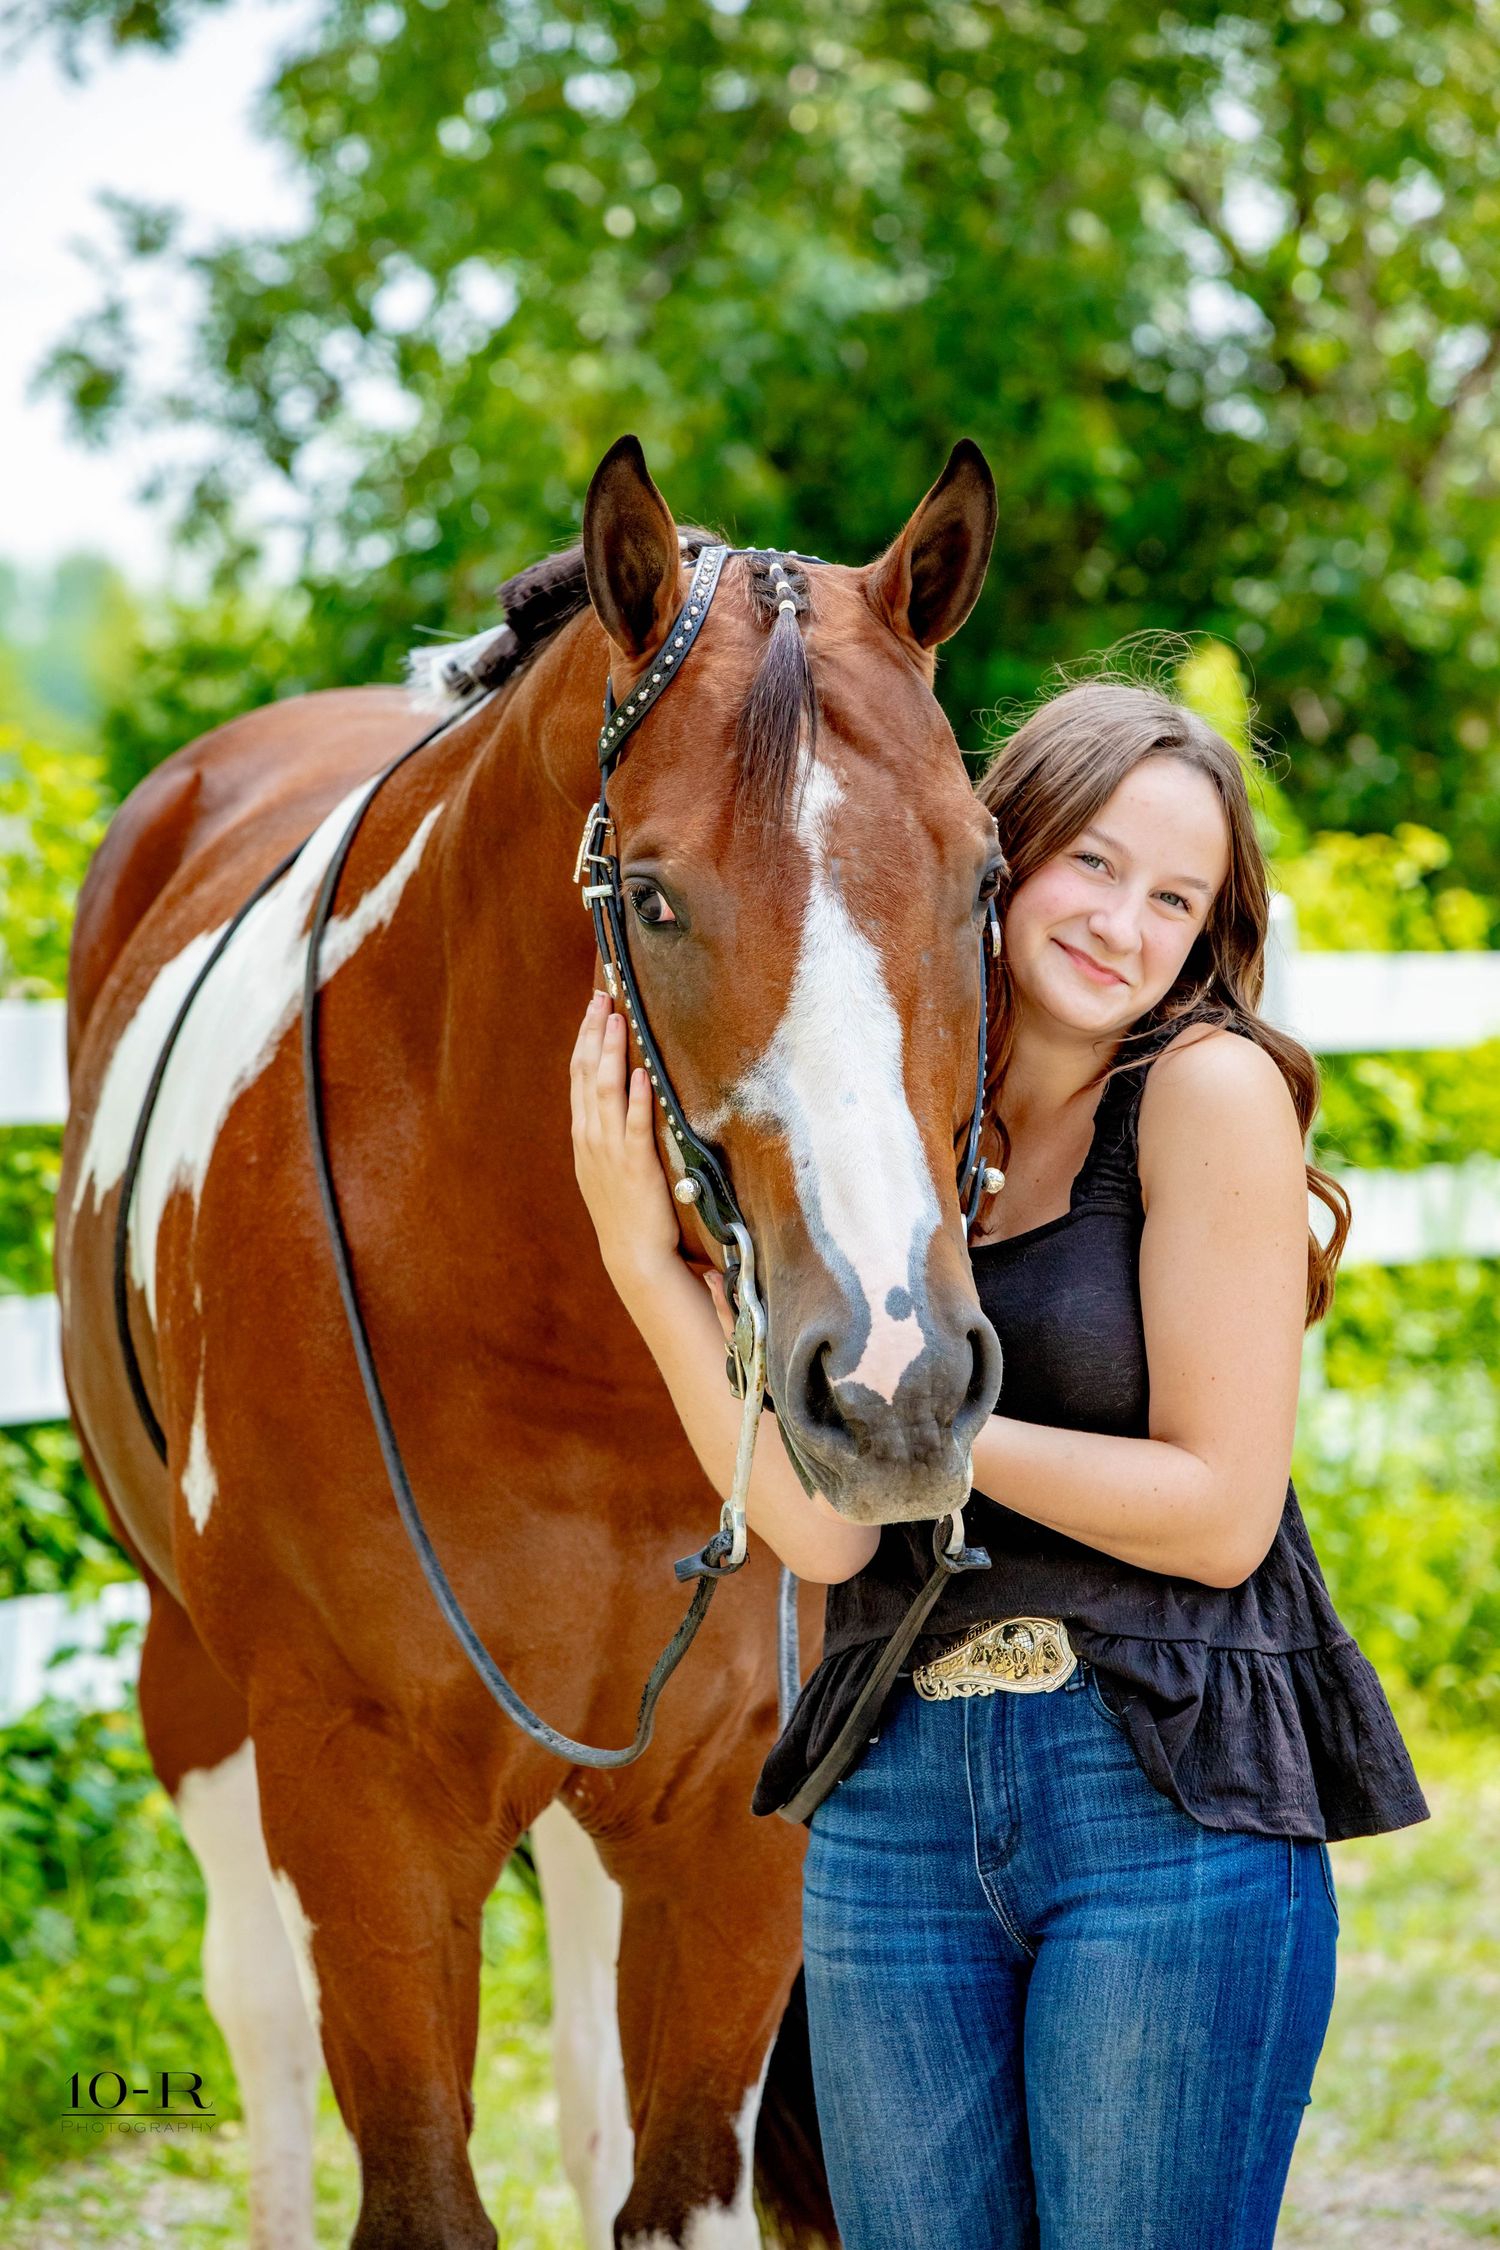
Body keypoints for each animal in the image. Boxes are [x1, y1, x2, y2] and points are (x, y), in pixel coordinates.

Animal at [55, 432, 1004, 2250]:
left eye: (983, 871)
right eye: (656, 897)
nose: (893, 1382)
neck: (566, 1347)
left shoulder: (726, 1821)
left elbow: (665, 2174)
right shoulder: (362, 1803)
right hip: (192, 1687)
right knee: (262, 2031)